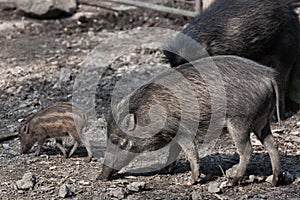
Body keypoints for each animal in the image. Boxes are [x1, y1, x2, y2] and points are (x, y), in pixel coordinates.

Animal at [98, 55, 282, 186]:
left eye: (116, 140)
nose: (100, 176)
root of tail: (268, 76)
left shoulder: (182, 131)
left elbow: (191, 154)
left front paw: (188, 182)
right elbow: (173, 152)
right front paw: (166, 171)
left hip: (240, 121)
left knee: (247, 150)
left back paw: (232, 181)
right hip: (262, 121)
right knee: (272, 145)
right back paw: (274, 181)